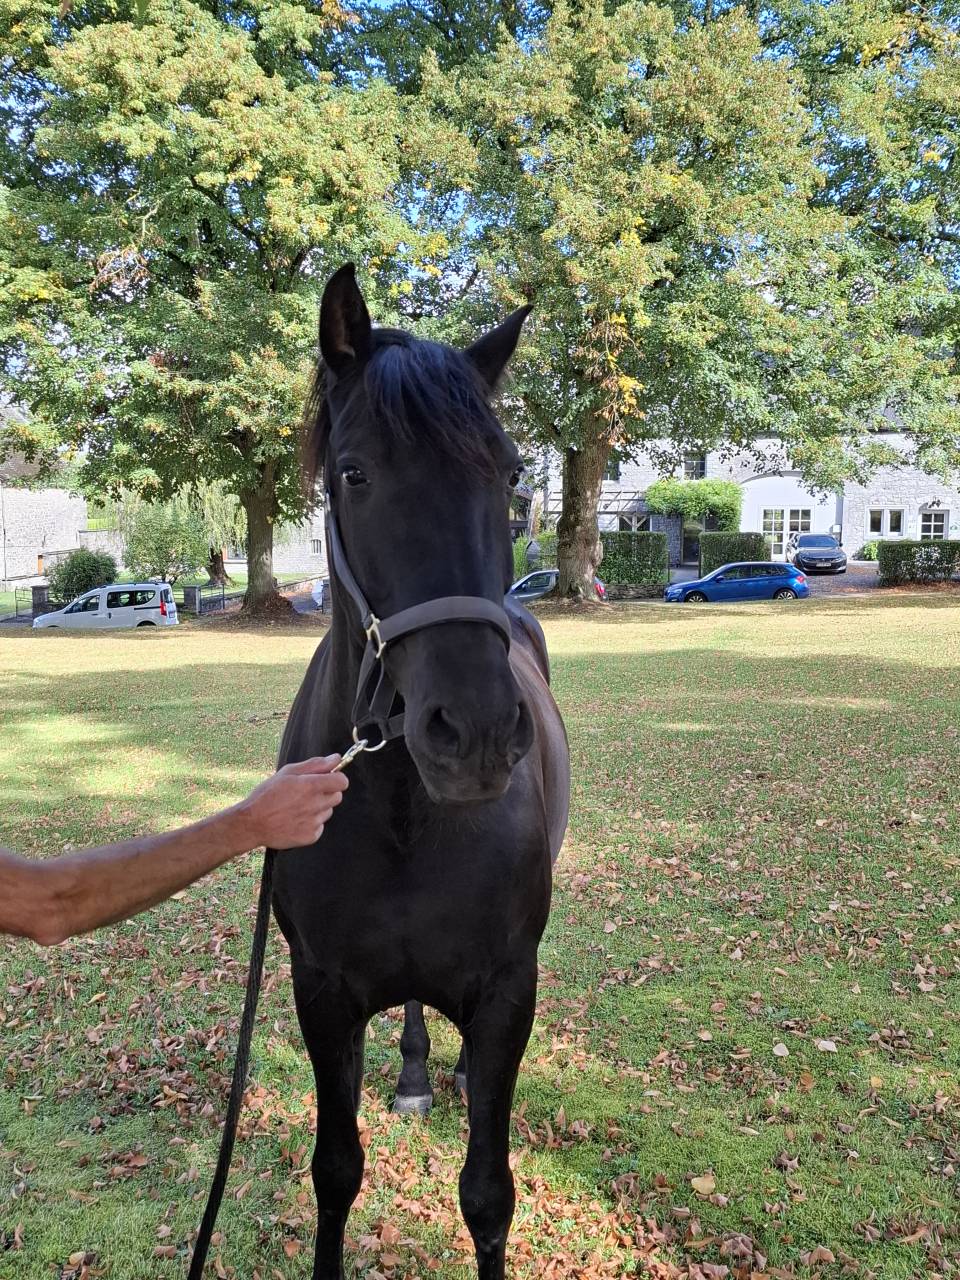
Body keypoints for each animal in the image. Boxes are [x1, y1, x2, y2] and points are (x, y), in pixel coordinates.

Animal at [271, 264, 570, 1280]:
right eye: (353, 473)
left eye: (512, 475)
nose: (472, 732)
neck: (402, 807)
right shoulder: (321, 993)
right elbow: (333, 1171)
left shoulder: (507, 992)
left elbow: (488, 1194)